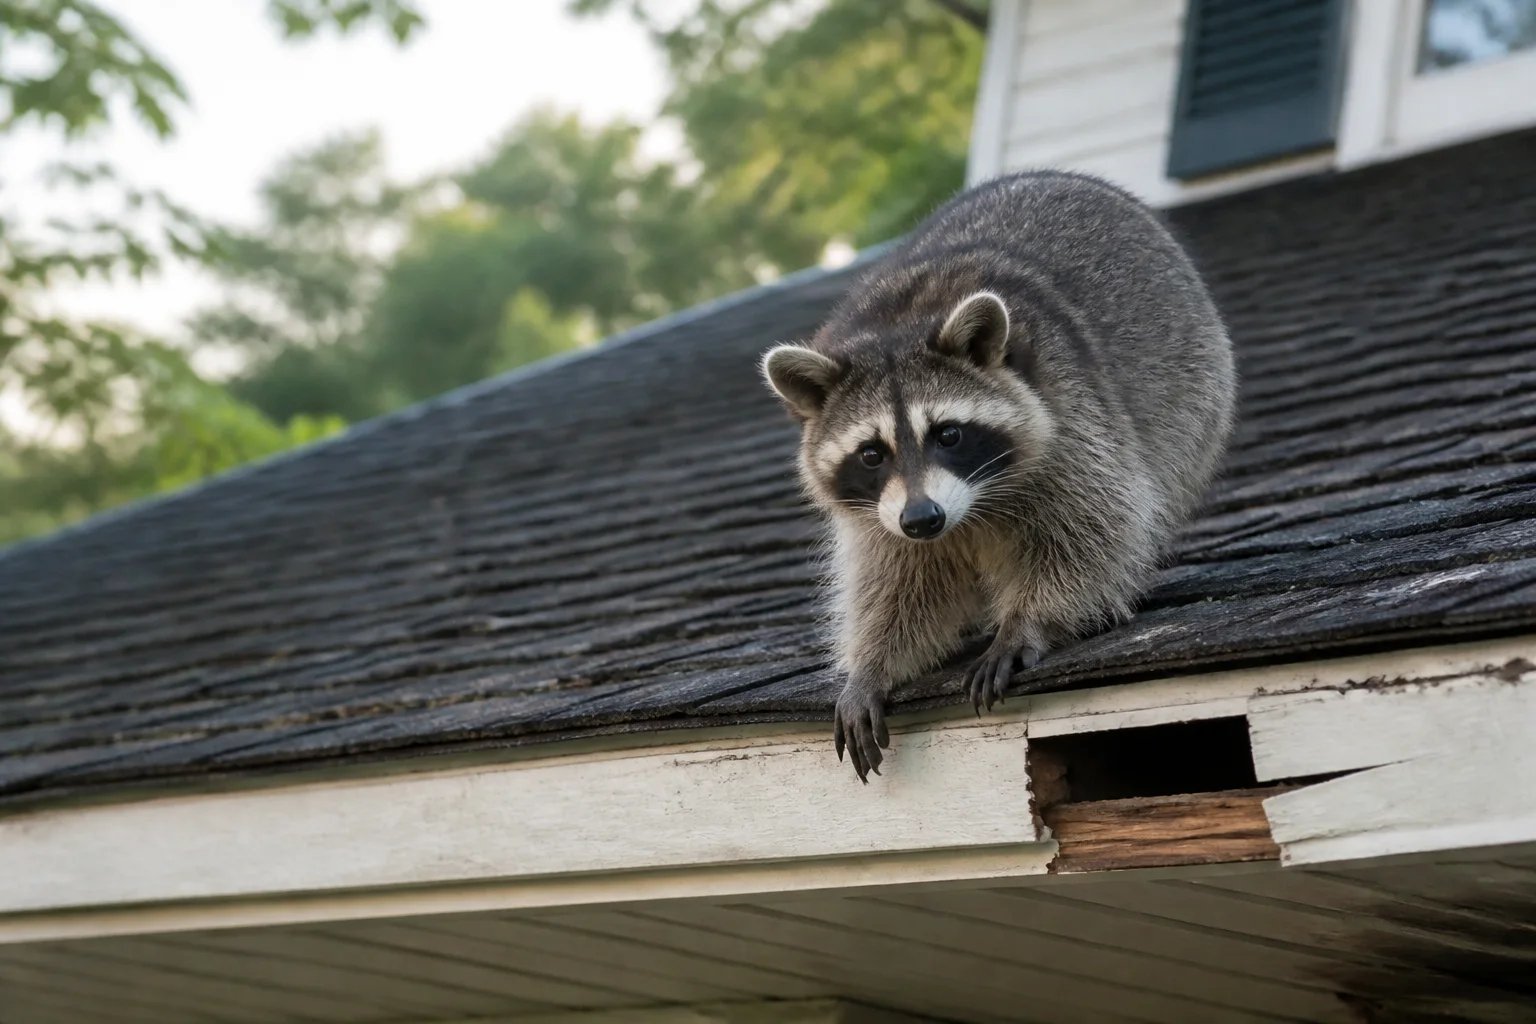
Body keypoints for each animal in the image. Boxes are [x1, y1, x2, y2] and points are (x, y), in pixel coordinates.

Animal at [761, 170, 1236, 782]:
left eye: (949, 434)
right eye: (871, 454)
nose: (923, 519)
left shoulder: (1072, 426)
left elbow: (1092, 530)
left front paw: (1028, 622)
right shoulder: (880, 518)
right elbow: (895, 585)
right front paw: (871, 664)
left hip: (1194, 390)